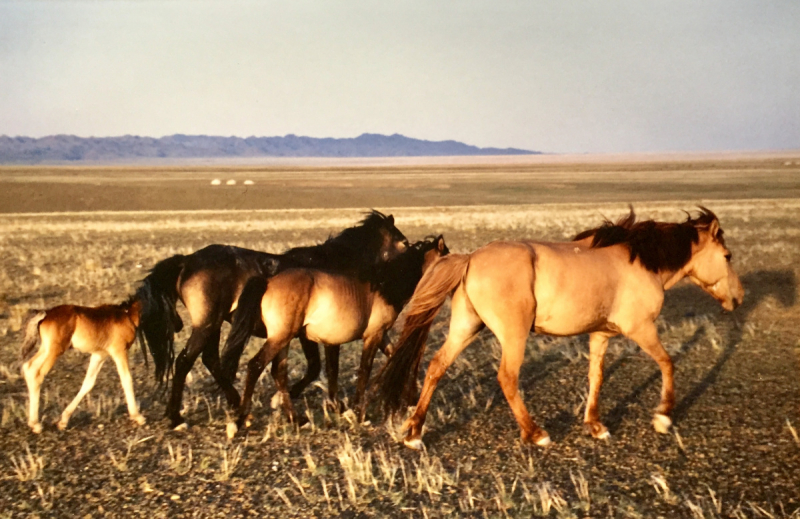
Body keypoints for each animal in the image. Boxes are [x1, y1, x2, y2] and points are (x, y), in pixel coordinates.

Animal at [19, 296, 145, 434]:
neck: (126, 314)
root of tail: (46, 313)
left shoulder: (99, 355)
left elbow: (88, 383)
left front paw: (63, 421)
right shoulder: (119, 352)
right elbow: (127, 379)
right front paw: (137, 416)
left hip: (46, 349)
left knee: (29, 368)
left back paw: (34, 423)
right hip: (54, 351)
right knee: (37, 374)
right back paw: (36, 425)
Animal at [136, 211, 406, 430]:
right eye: (404, 243)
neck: (340, 265)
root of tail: (187, 261)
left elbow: (388, 352)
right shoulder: (323, 334)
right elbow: (324, 368)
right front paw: (323, 403)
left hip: (214, 325)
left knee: (210, 360)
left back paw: (236, 404)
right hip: (207, 324)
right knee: (185, 361)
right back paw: (177, 418)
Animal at [378, 208, 740, 450]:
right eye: (727, 255)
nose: (738, 297)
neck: (640, 261)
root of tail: (471, 258)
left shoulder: (601, 334)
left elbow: (596, 376)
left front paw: (595, 425)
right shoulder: (641, 329)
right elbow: (667, 363)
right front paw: (663, 417)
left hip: (466, 326)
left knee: (437, 366)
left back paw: (414, 433)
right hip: (513, 335)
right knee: (507, 378)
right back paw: (536, 433)